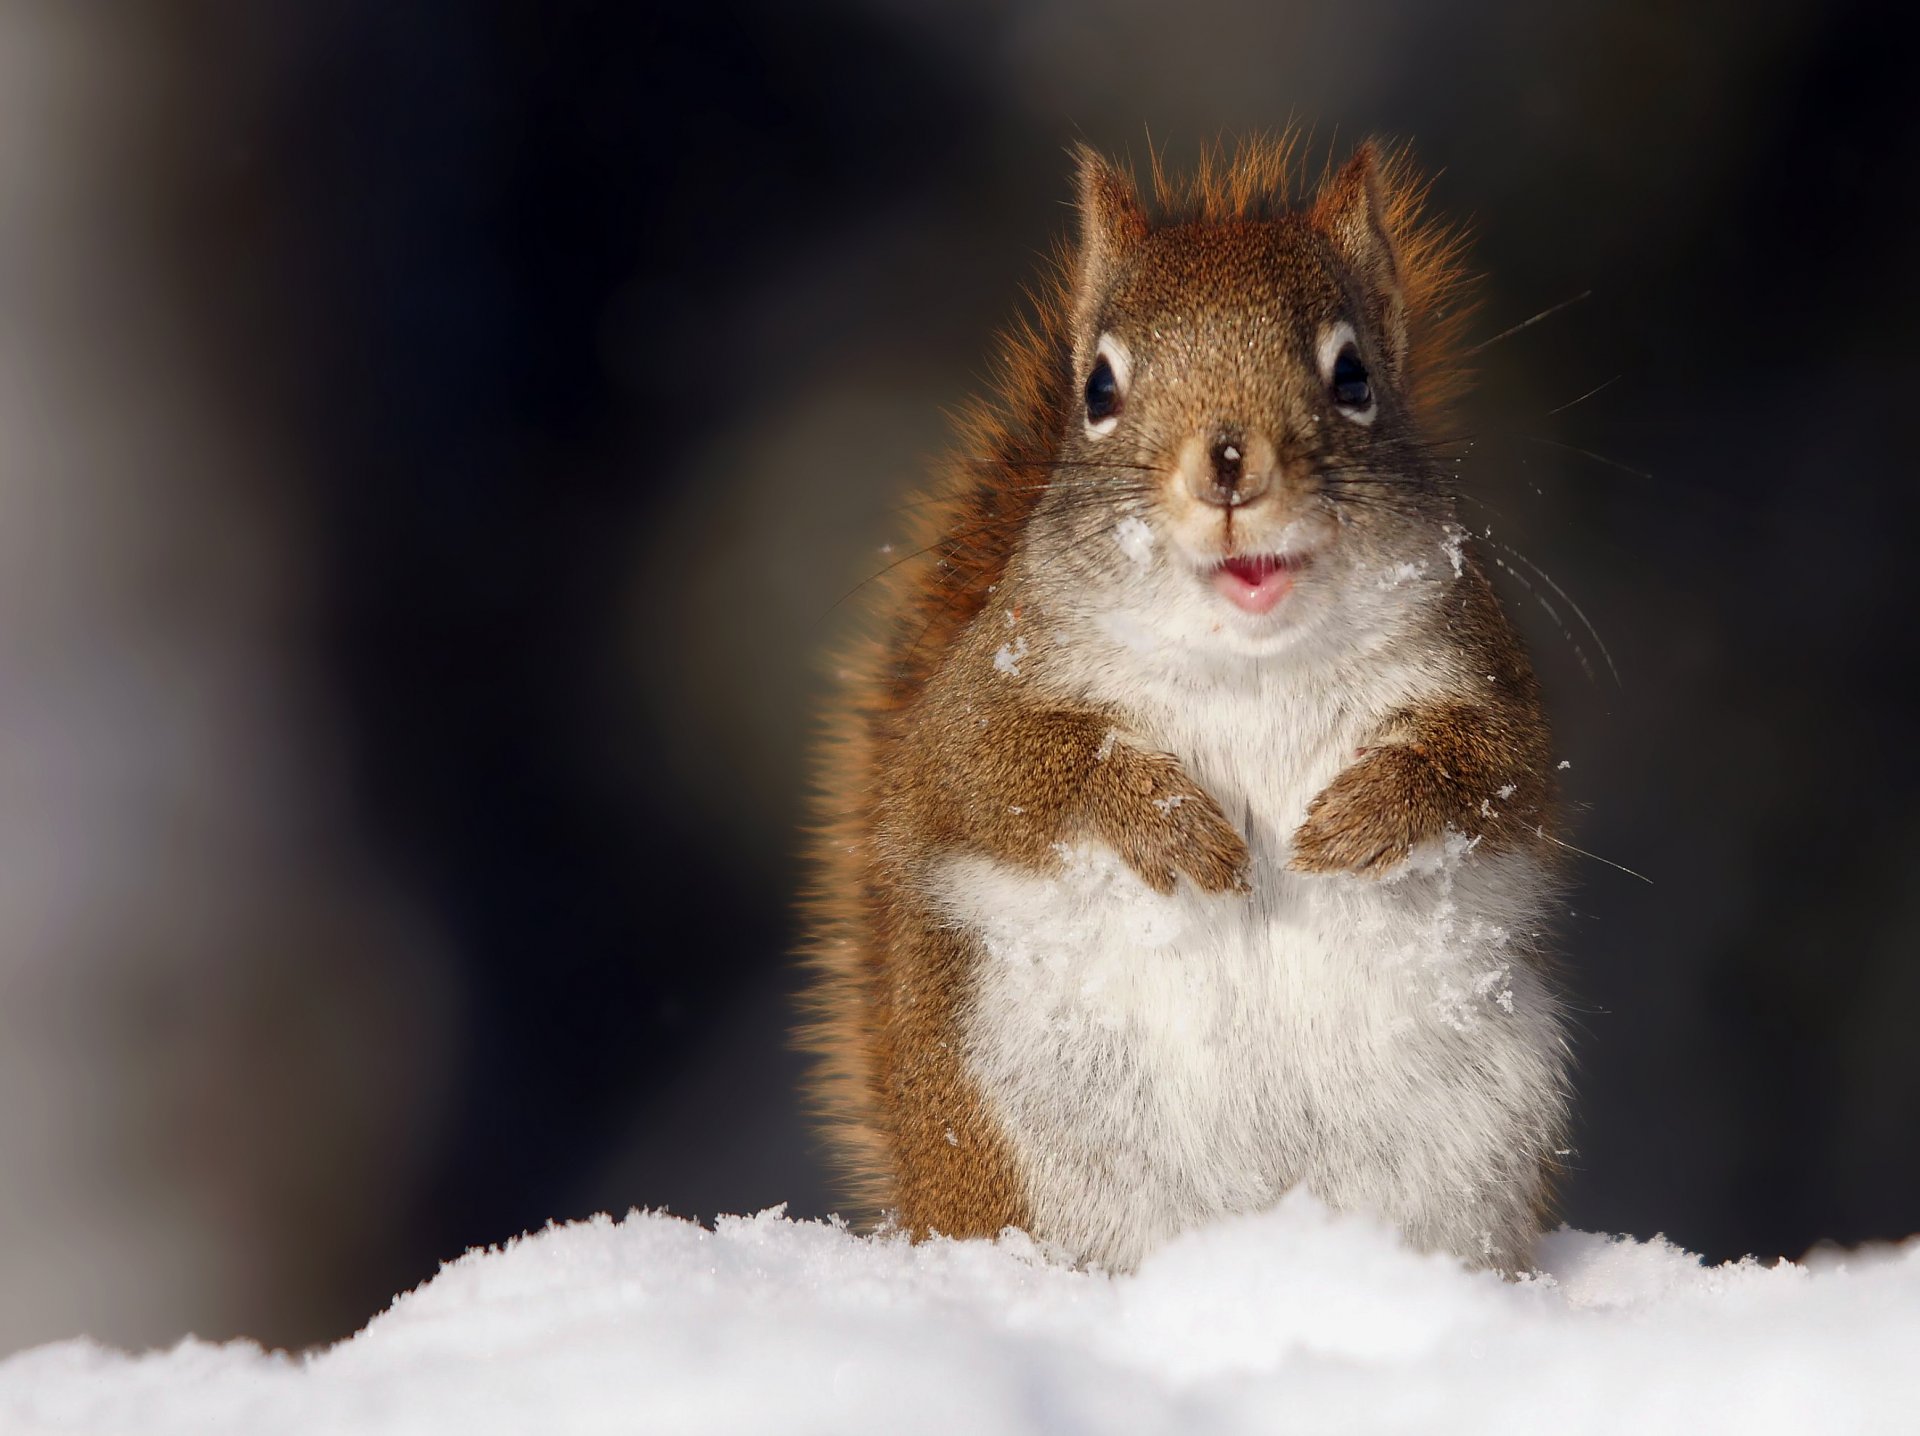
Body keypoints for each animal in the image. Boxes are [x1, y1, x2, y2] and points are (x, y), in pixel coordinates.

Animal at [802, 140, 1566, 1274]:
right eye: (1097, 388)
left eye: (1354, 377)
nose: (1230, 464)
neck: (1247, 660)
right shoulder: (978, 704)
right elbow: (1001, 776)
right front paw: (1167, 822)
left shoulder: (1481, 671)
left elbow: (1494, 771)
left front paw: (1368, 811)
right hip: (1014, 1132)